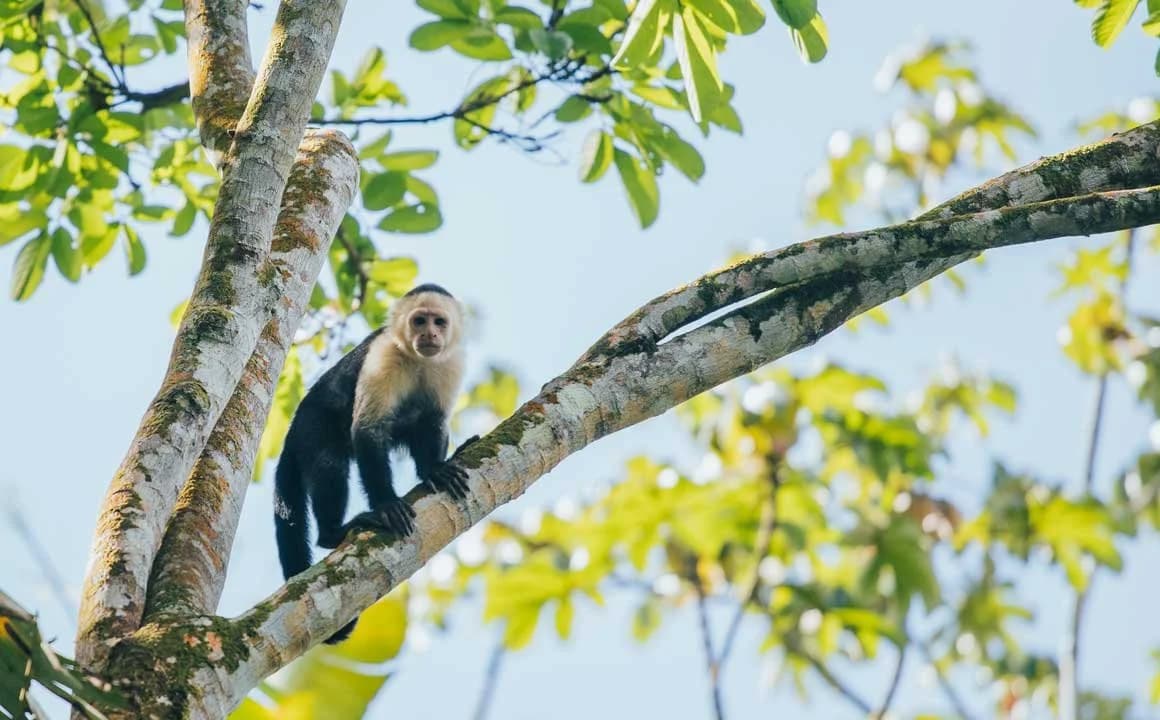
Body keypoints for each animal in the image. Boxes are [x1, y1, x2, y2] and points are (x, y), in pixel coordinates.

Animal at [273, 283, 475, 644]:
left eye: (439, 321)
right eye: (419, 321)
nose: (430, 334)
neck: (416, 360)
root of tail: (291, 434)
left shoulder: (451, 363)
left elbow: (434, 420)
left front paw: (435, 469)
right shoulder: (384, 355)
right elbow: (368, 431)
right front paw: (386, 505)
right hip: (311, 427)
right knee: (330, 465)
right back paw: (333, 534)